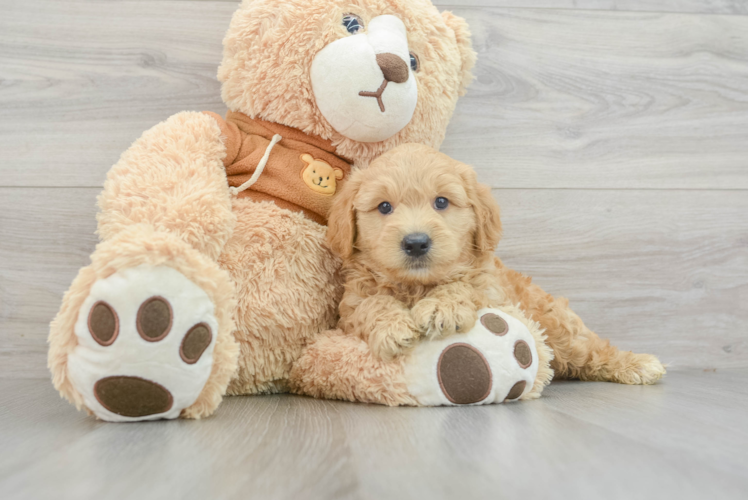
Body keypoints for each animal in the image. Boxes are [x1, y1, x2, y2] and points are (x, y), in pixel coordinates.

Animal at [328, 143, 668, 384]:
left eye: (441, 202)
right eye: (384, 207)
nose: (416, 242)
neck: (418, 285)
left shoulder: (493, 293)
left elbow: (465, 285)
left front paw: (443, 307)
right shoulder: (351, 305)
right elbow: (372, 303)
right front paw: (393, 327)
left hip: (559, 329)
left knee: (593, 350)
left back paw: (638, 365)